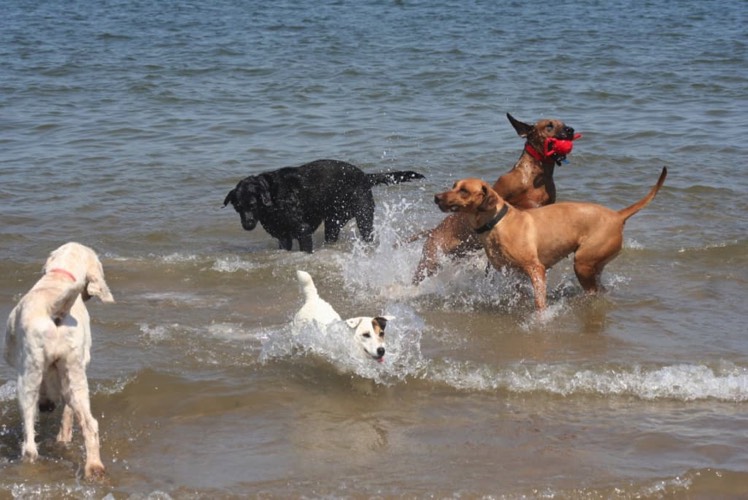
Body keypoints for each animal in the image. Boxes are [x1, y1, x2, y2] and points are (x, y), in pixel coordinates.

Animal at [222, 159, 424, 252]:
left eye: (252, 204)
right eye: (238, 207)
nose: (247, 224)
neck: (272, 196)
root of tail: (365, 176)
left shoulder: (302, 230)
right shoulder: (283, 237)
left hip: (363, 217)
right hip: (333, 221)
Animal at [412, 114, 580, 286]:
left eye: (564, 124)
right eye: (549, 126)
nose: (570, 130)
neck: (537, 175)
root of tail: (432, 230)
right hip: (429, 261)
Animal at [432, 167, 668, 308]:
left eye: (463, 191)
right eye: (453, 186)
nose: (436, 197)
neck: (497, 223)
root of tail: (617, 216)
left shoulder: (535, 269)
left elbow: (539, 302)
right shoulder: (512, 273)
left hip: (583, 263)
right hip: (594, 264)